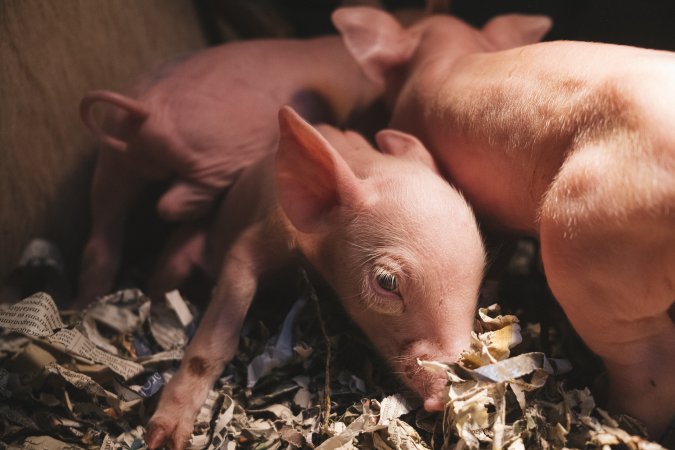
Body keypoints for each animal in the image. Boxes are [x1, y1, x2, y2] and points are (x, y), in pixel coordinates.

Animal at [75, 34, 384, 307]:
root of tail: (148, 106)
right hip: (221, 155)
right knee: (169, 204)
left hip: (115, 157)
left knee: (102, 228)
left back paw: (87, 300)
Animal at [144, 106, 486, 449]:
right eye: (387, 282)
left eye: (481, 274)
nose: (445, 394)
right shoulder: (256, 239)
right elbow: (217, 339)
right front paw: (164, 439)